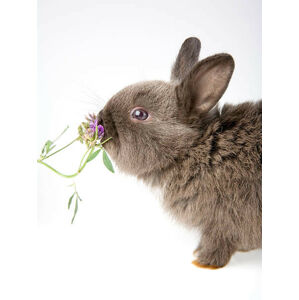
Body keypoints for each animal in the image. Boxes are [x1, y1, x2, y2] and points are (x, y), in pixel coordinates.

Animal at [97, 37, 262, 270]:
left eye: (139, 114)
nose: (99, 121)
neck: (194, 149)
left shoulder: (224, 221)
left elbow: (219, 243)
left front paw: (204, 261)